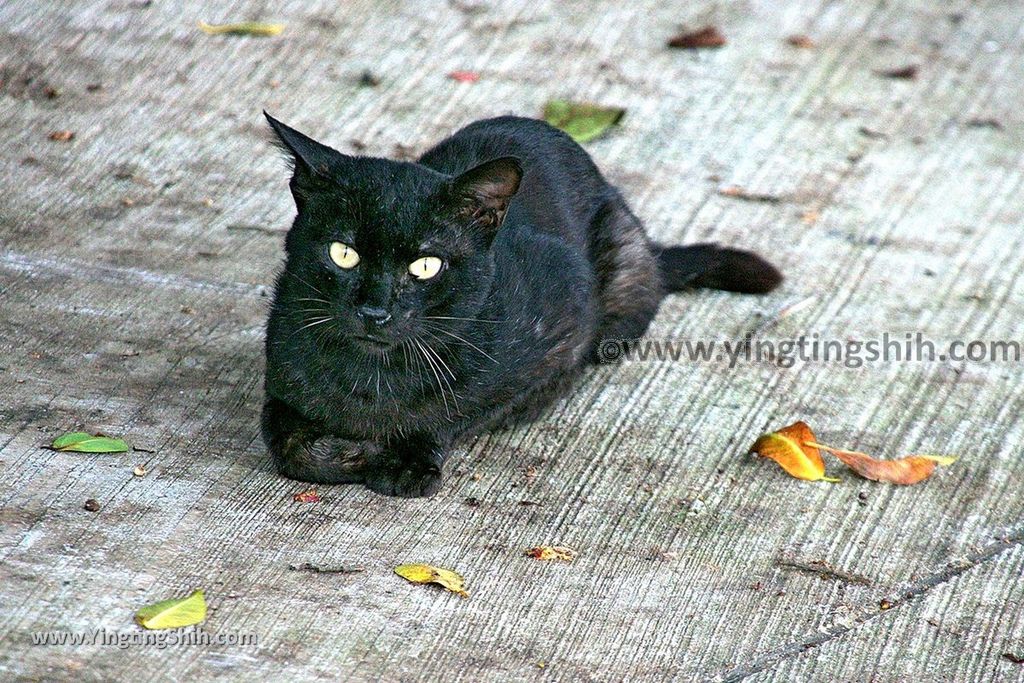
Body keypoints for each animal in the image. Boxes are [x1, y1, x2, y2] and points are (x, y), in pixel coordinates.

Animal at [260, 112, 778, 497]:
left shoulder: (562, 338)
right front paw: (355, 453)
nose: (375, 311)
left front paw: (407, 458)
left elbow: (464, 412)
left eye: (426, 266)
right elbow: (286, 444)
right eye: (343, 253)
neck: (375, 380)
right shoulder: (281, 374)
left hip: (621, 286)